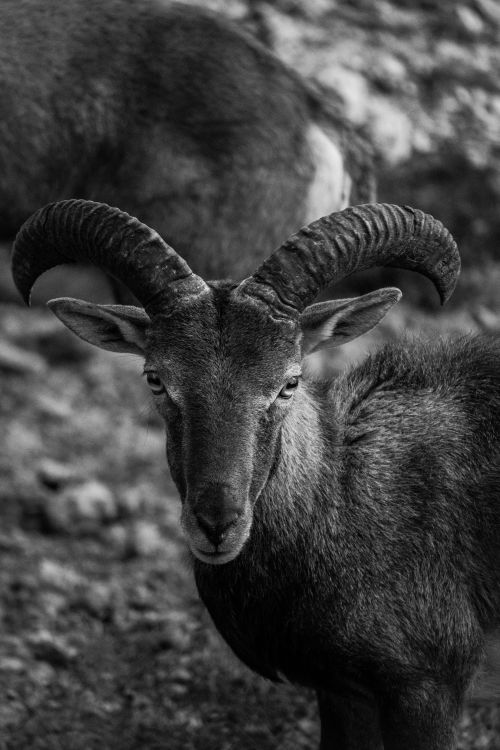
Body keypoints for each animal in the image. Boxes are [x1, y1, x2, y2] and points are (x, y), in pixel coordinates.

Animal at [14, 198, 500, 750]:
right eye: (156, 378)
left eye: (290, 381)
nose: (216, 523)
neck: (347, 498)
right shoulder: (344, 693)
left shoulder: (428, 687)